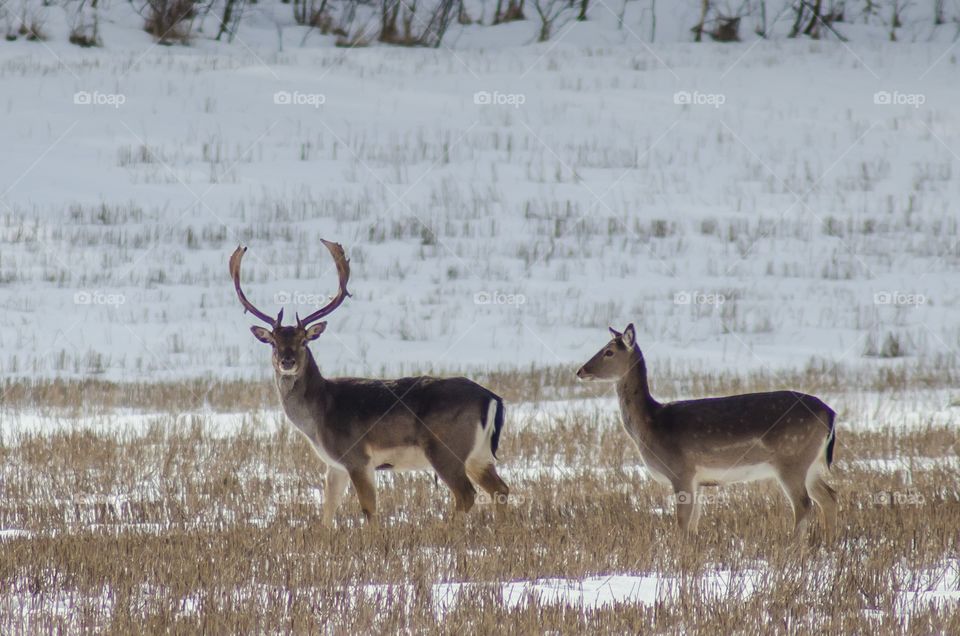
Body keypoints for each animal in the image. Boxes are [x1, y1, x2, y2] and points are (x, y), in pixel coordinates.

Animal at [230, 240, 509, 527]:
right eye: (273, 343)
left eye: (304, 340)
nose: (287, 361)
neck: (319, 416)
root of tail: (492, 398)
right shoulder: (335, 465)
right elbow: (327, 514)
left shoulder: (357, 457)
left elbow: (369, 511)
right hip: (479, 454)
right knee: (500, 489)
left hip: (446, 448)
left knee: (467, 494)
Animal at [577, 324, 838, 540]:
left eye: (609, 351)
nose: (580, 370)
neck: (651, 425)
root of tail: (829, 413)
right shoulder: (698, 481)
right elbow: (693, 524)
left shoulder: (681, 470)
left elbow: (682, 523)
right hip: (810, 463)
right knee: (829, 496)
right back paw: (828, 543)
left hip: (792, 459)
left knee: (804, 504)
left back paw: (795, 547)